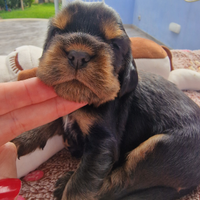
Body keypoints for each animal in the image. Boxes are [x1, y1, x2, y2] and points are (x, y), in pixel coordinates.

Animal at [12, 1, 200, 200]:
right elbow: (51, 116)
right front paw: (23, 138)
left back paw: (64, 183)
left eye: (115, 45)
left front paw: (69, 187)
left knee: (120, 184)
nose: (78, 55)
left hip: (158, 148)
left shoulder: (103, 143)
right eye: (56, 32)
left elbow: (80, 186)